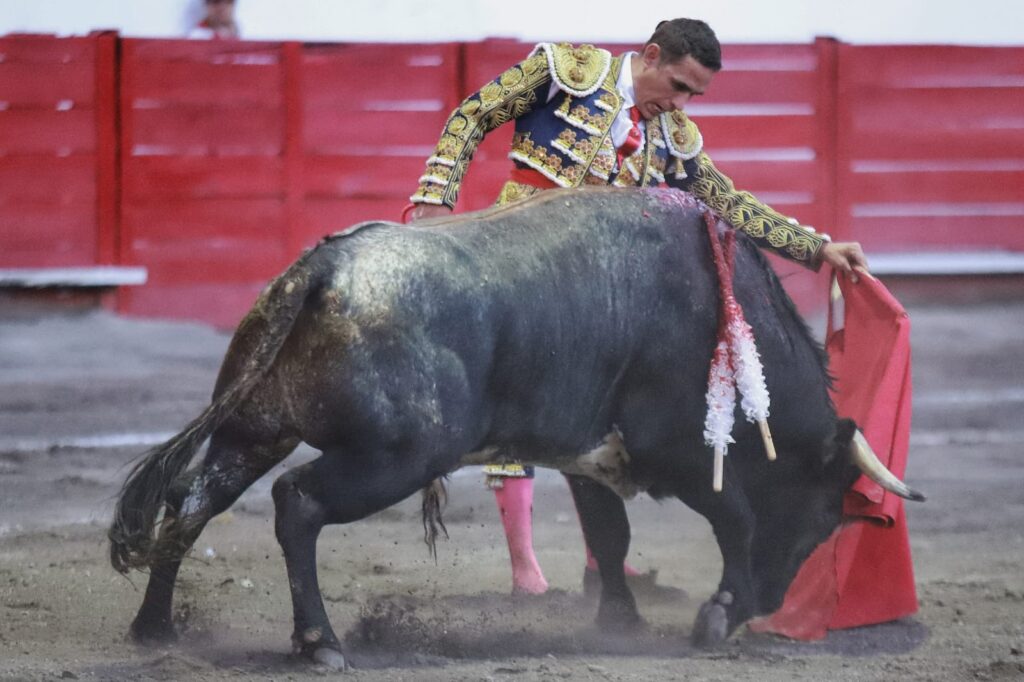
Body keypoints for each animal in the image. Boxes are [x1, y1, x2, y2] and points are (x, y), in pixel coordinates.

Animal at [105, 186, 921, 663]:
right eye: (821, 518)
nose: (774, 606)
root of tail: (322, 272)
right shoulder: (682, 451)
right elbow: (738, 520)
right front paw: (719, 614)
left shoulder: (590, 450)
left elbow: (608, 533)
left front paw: (620, 620)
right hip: (392, 458)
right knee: (296, 503)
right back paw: (320, 643)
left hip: (256, 429)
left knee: (192, 502)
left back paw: (155, 629)